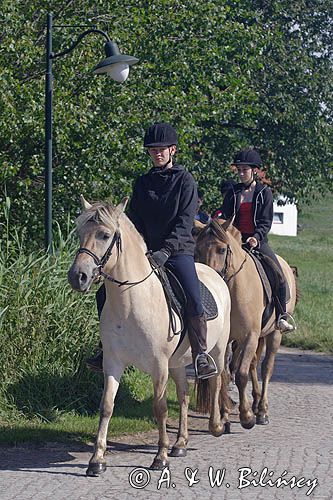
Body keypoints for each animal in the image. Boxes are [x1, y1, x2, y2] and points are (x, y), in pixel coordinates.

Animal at [66, 198, 230, 476]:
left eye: (105, 235)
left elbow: (160, 408)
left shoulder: (159, 366)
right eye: (79, 233)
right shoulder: (113, 362)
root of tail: (213, 273)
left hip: (216, 350)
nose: (78, 276)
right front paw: (97, 460)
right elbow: (106, 406)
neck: (131, 302)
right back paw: (180, 444)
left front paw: (160, 457)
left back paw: (216, 426)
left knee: (217, 380)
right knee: (184, 394)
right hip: (177, 363)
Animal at [193, 219, 296, 430]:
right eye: (197, 249)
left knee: (266, 367)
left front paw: (247, 416)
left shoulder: (250, 336)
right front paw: (224, 416)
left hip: (274, 334)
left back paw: (262, 410)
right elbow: (225, 374)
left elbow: (240, 374)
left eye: (222, 249)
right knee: (252, 364)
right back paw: (255, 403)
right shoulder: (228, 340)